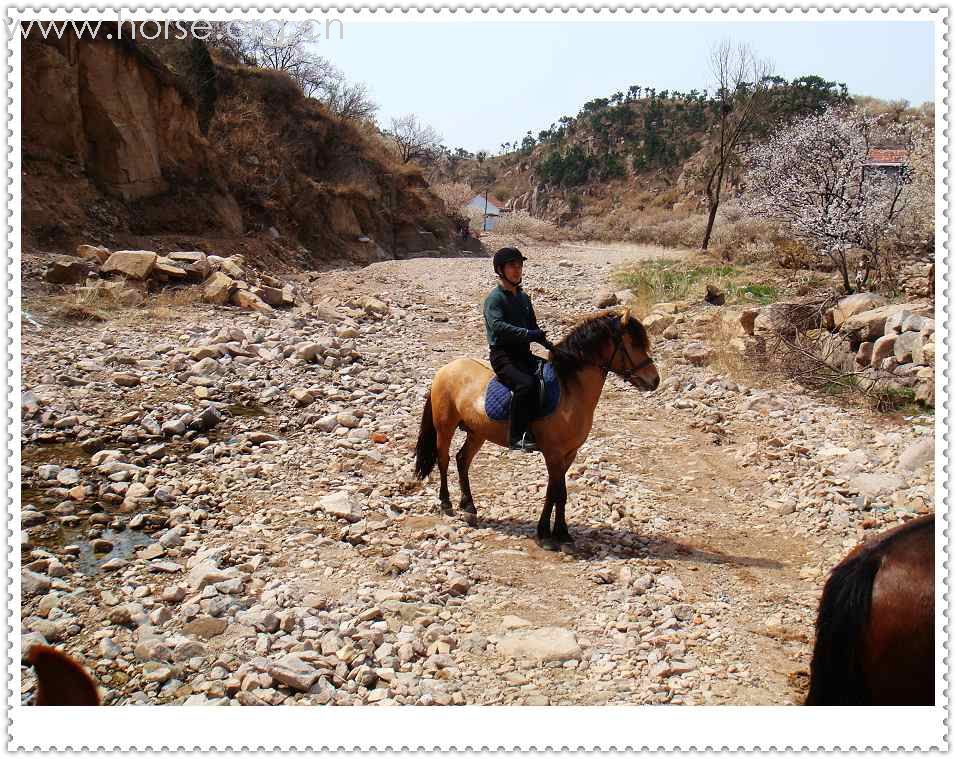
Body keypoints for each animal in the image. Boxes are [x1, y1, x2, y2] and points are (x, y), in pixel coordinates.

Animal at [414, 308, 660, 552]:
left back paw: (469, 507)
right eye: (633, 344)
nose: (655, 380)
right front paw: (548, 534)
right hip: (445, 427)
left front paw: (559, 533)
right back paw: (446, 503)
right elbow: (558, 492)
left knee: (462, 460)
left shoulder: (568, 454)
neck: (570, 390)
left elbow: (555, 492)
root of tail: (446, 369)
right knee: (444, 459)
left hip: (477, 433)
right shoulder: (553, 453)